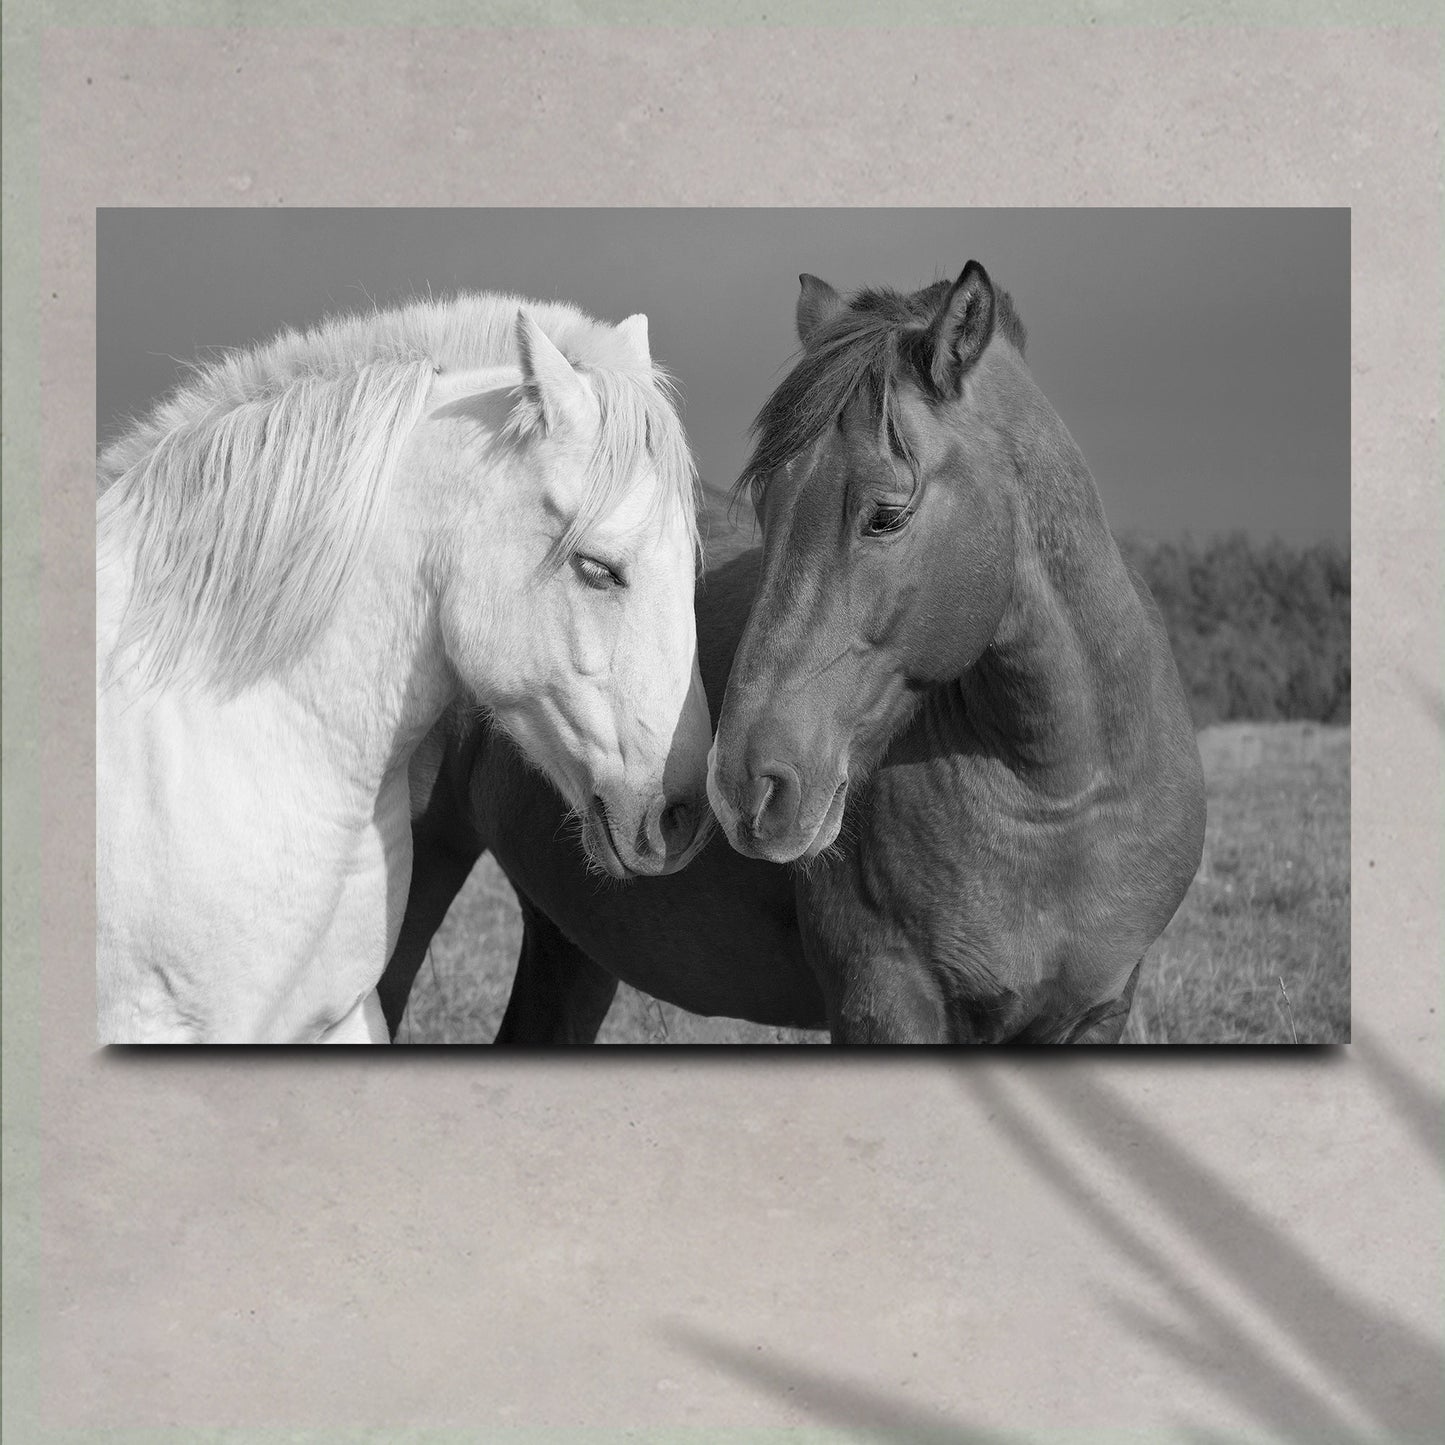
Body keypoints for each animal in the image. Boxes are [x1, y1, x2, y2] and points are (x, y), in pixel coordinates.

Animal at [381, 261, 1207, 1045]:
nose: (744, 785)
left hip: (571, 936)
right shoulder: (884, 1001)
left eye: (886, 514)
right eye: (766, 504)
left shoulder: (1092, 1012)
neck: (1060, 793)